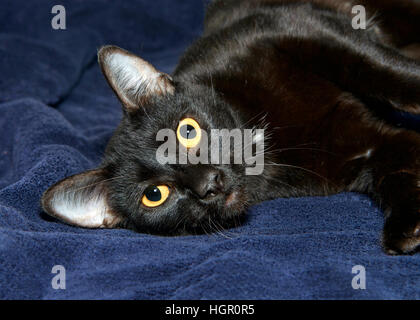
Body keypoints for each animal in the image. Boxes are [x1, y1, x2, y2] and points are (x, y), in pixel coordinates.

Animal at [41, 0, 420, 255]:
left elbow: (378, 68)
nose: (209, 183)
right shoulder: (362, 148)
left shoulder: (291, 25)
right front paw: (407, 226)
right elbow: (397, 168)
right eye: (155, 195)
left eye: (187, 131)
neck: (273, 148)